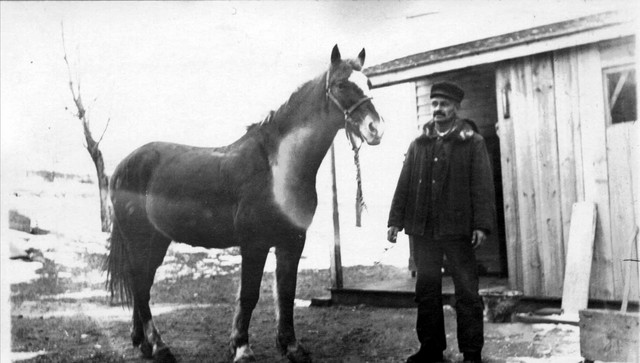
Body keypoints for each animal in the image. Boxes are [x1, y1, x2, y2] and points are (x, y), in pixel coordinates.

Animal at [106, 46, 384, 363]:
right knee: (140, 286)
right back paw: (160, 347)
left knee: (142, 283)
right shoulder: (255, 243)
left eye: (369, 84)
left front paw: (291, 347)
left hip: (157, 241)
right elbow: (249, 295)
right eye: (340, 85)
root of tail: (122, 167)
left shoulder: (292, 241)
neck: (277, 169)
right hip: (140, 239)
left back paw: (142, 343)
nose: (375, 129)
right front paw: (241, 348)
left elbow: (286, 293)